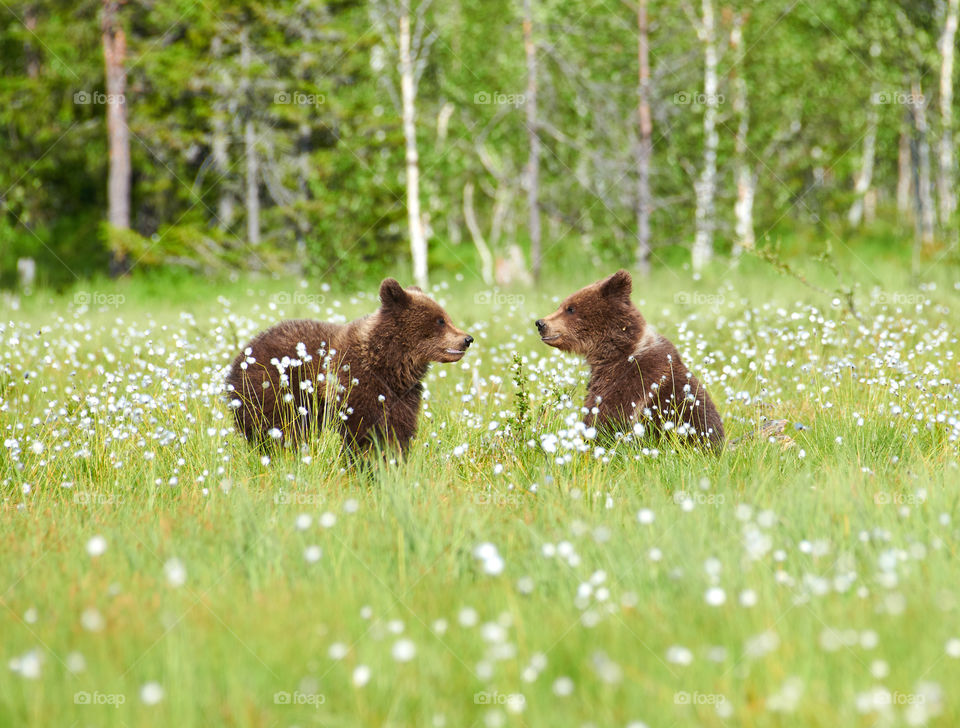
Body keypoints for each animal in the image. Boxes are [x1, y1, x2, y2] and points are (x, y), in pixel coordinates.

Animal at [225, 278, 473, 451]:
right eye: (440, 320)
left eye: (446, 317)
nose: (467, 338)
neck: (390, 365)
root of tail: (242, 354)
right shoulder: (356, 385)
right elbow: (363, 430)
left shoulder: (402, 395)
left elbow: (398, 429)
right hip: (273, 392)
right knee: (279, 429)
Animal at [535, 270, 724, 448]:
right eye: (562, 305)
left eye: (571, 308)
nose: (540, 323)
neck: (614, 354)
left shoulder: (632, 382)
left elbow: (606, 419)